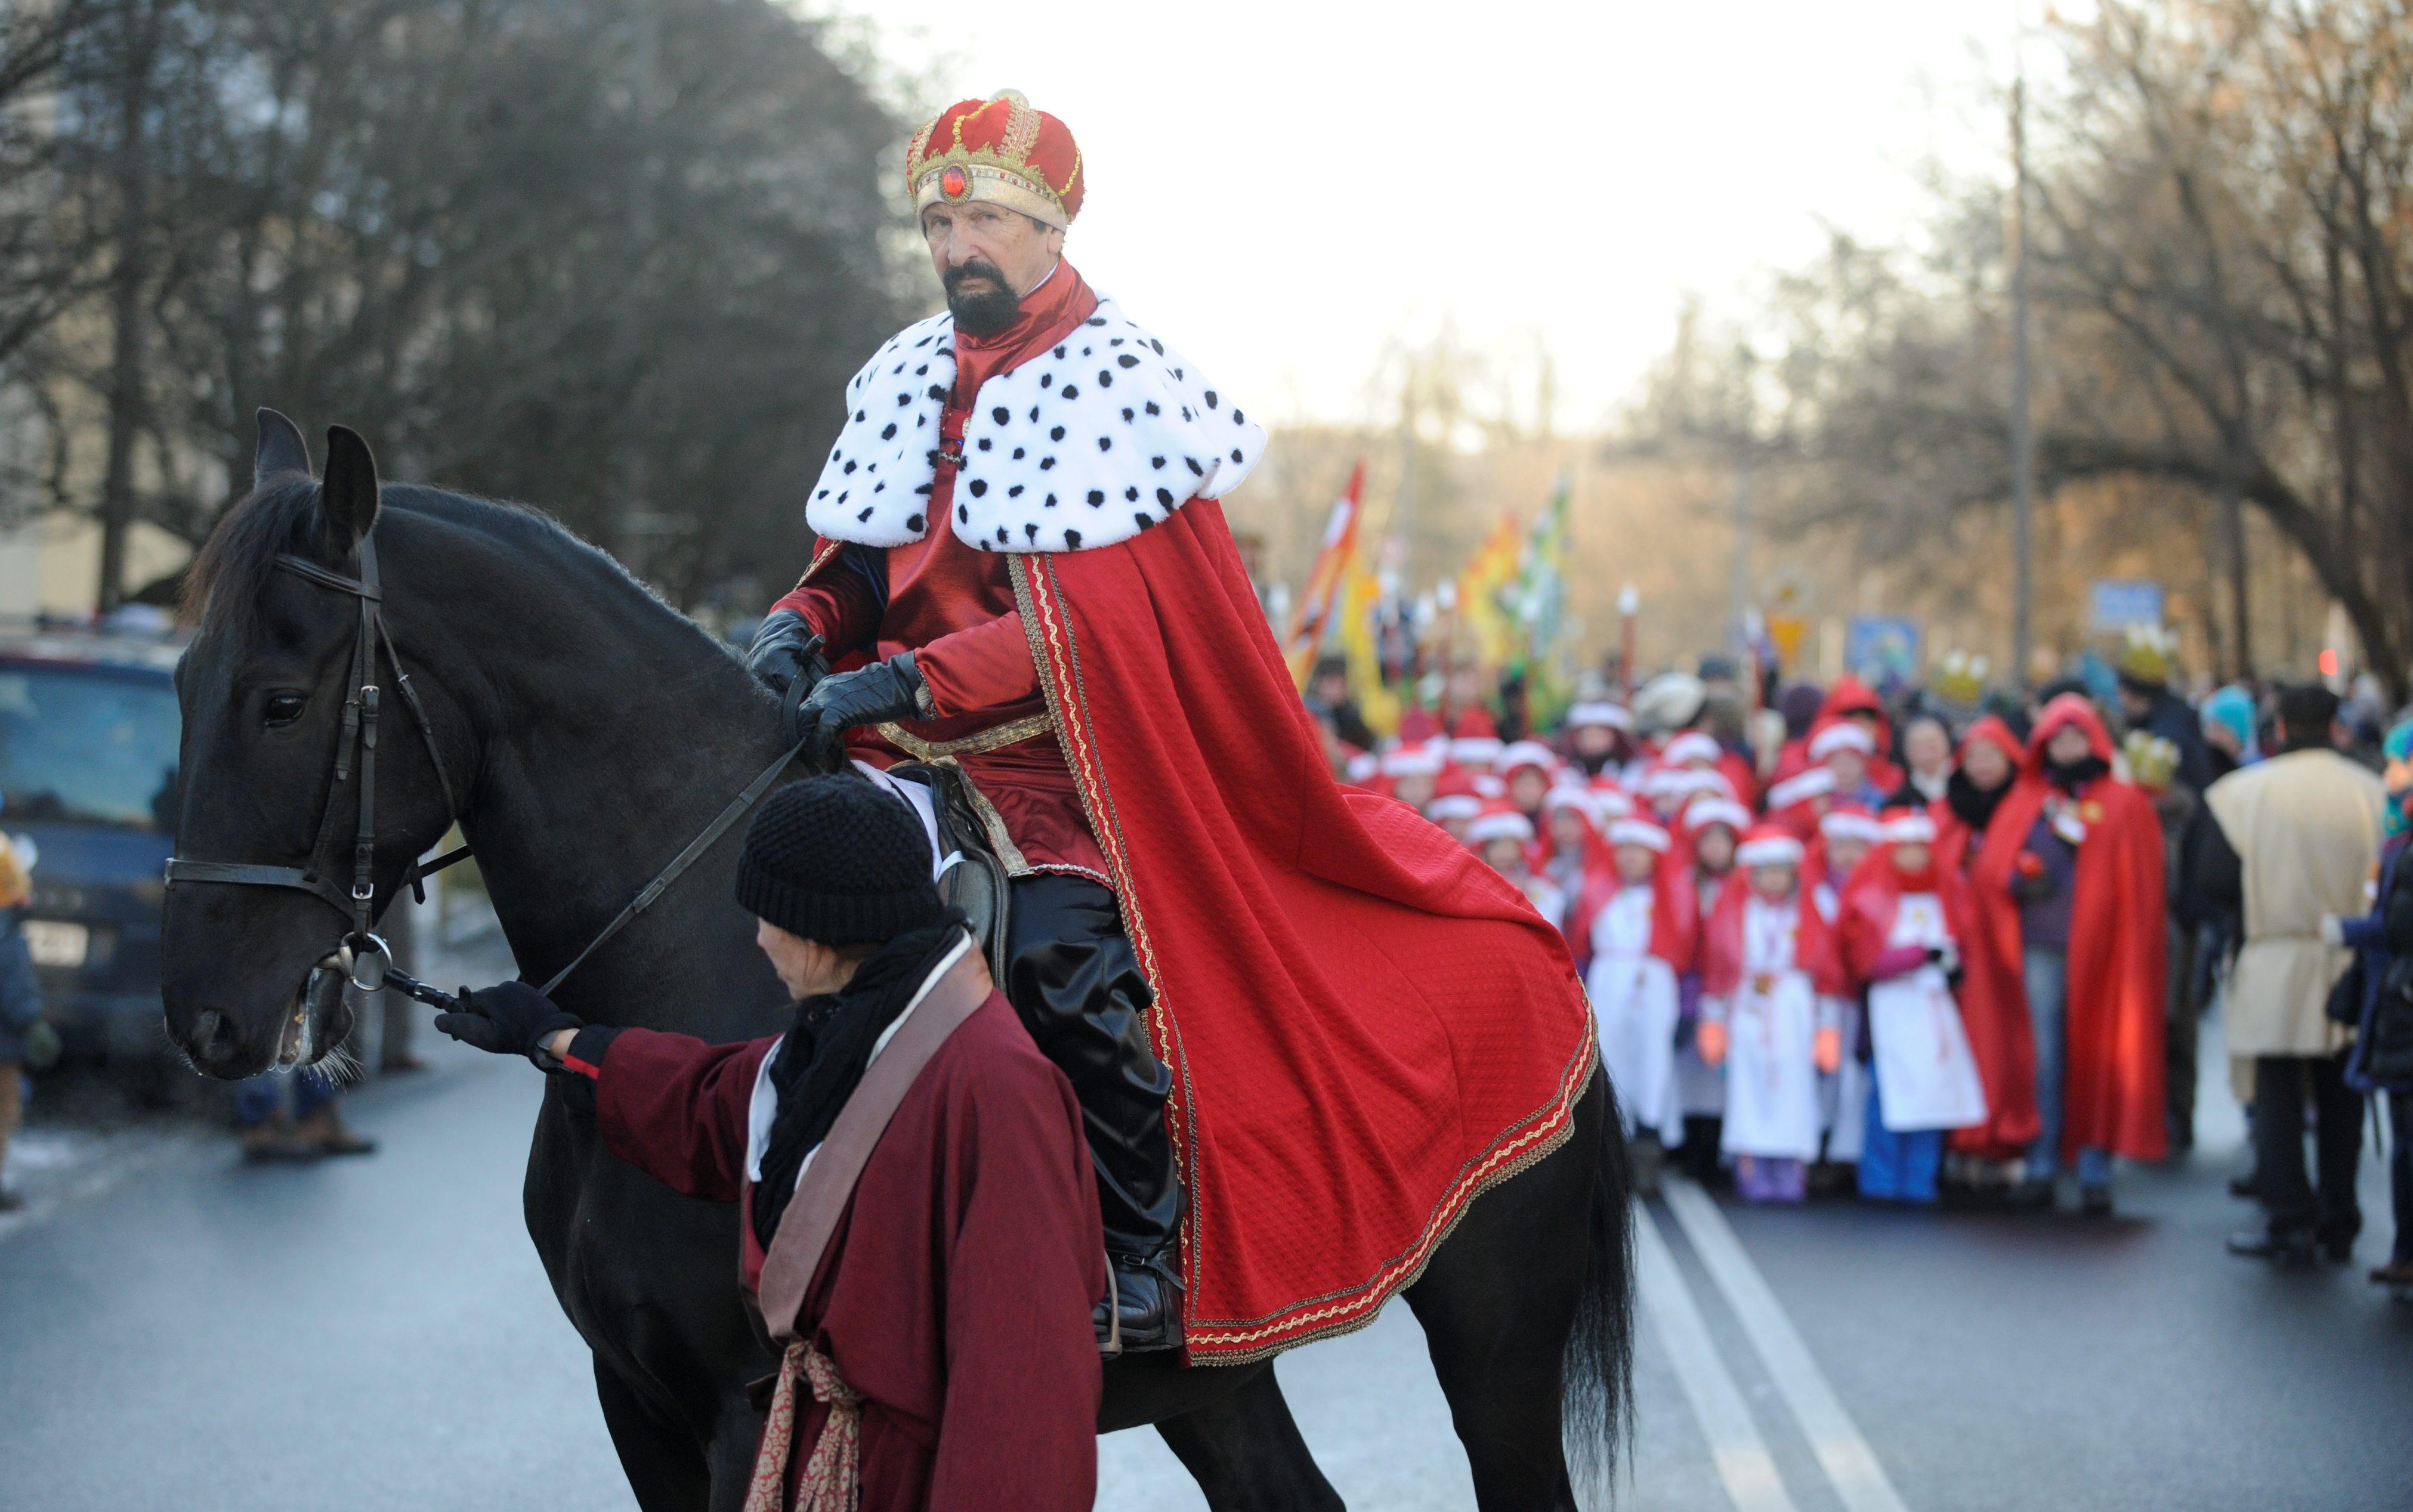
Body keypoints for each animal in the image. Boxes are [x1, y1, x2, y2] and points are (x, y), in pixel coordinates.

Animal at [155, 407, 1640, 1504]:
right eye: (178, 681)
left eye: (279, 702)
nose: (205, 1015)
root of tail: (1524, 925)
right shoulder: (634, 1400)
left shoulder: (750, 1402)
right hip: (1222, 1368)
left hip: (1496, 1353)